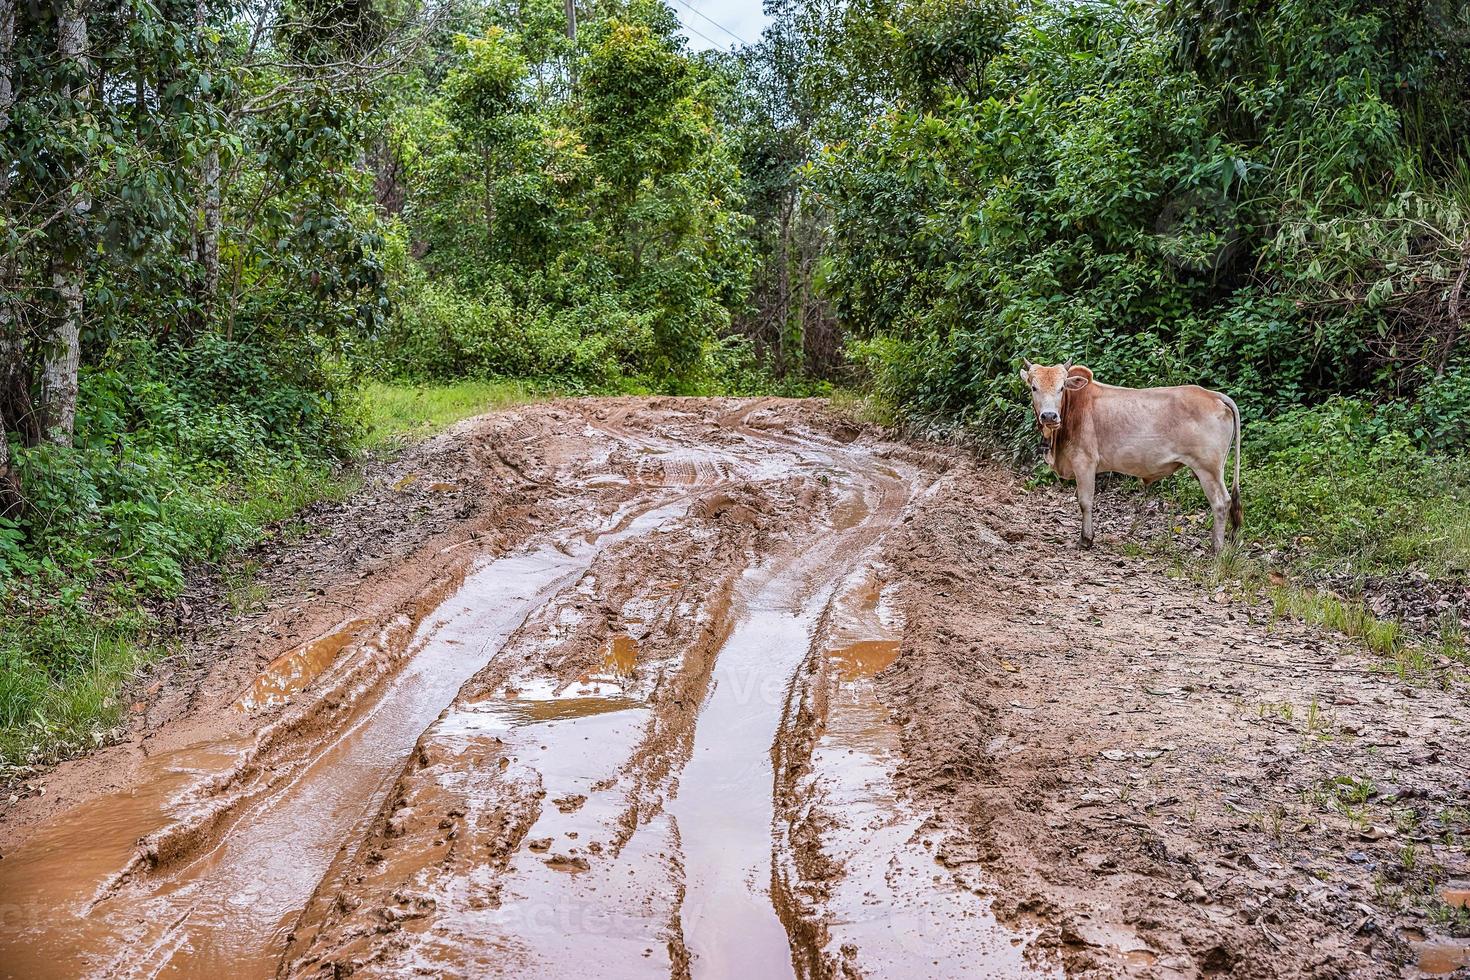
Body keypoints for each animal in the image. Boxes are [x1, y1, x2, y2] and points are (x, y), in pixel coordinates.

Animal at [1023, 359, 1240, 552]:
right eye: (1034, 387)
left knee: (1221, 503)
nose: (1049, 416)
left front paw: (1086, 539)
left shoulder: (1084, 463)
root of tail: (1212, 394)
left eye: (1061, 388)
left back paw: (1216, 548)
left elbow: (1085, 502)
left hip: (1208, 469)